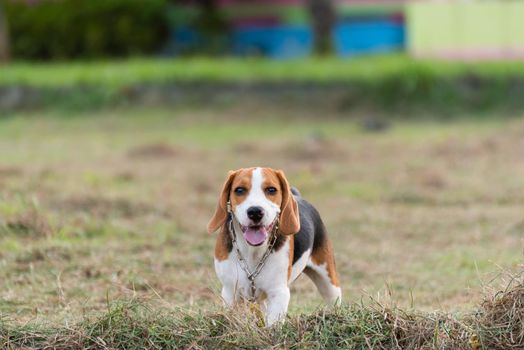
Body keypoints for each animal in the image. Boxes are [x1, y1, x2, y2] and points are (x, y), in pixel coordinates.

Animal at [207, 167, 342, 326]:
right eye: (239, 190)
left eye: (271, 190)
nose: (255, 212)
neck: (253, 251)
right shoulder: (230, 292)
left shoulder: (279, 293)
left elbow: (272, 326)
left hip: (329, 282)